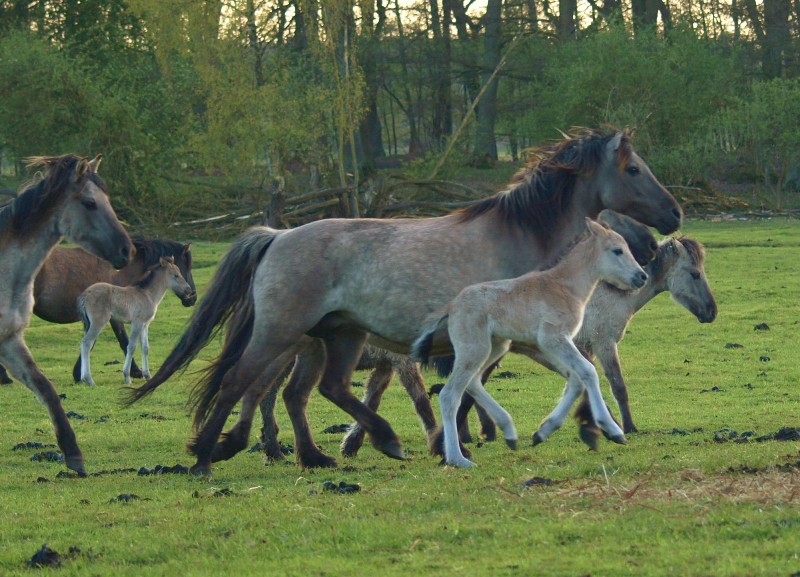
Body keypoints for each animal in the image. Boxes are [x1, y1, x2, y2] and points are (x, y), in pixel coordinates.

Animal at [0, 236, 197, 384]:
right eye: (182, 270)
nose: (191, 295)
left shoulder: (140, 323)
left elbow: (144, 347)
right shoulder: (125, 320)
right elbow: (126, 343)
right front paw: (131, 374)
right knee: (87, 341)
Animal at [130, 128, 680, 474]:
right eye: (634, 169)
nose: (670, 221)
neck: (521, 239)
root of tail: (277, 236)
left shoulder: (509, 341)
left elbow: (559, 375)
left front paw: (578, 427)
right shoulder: (499, 340)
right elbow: (474, 390)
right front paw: (457, 444)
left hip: (336, 336)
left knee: (314, 391)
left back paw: (337, 451)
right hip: (280, 333)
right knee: (240, 384)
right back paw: (208, 455)